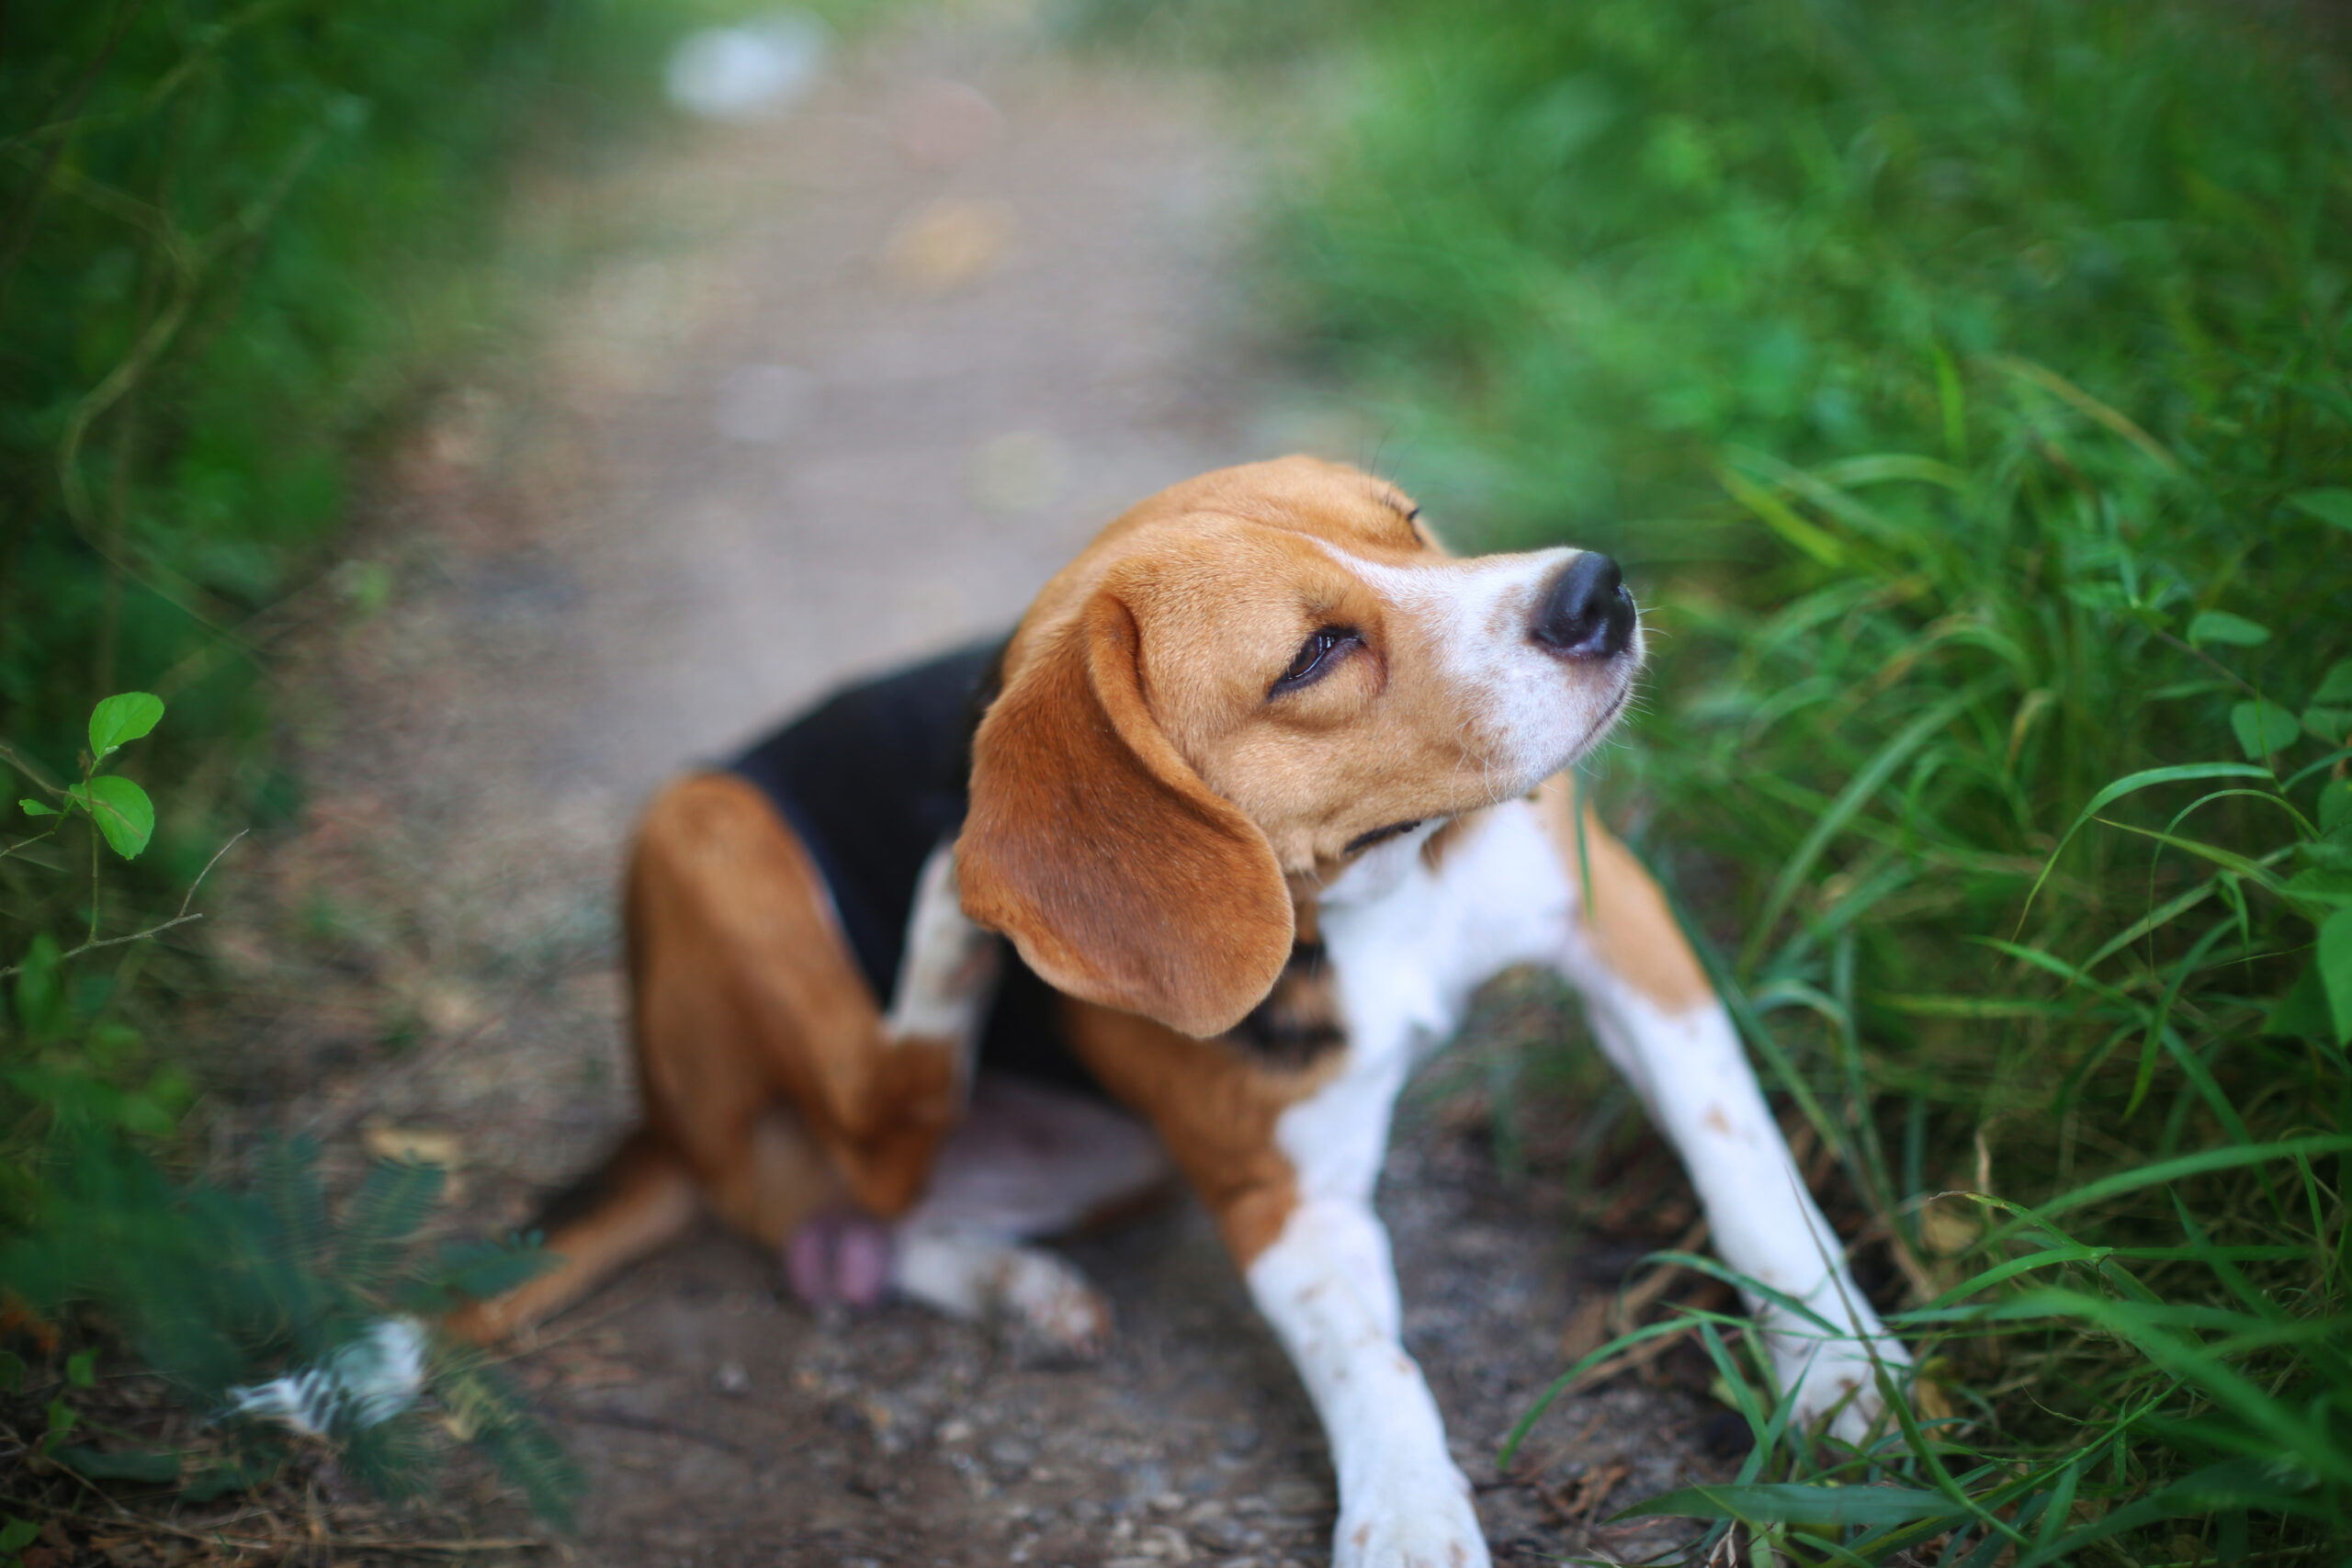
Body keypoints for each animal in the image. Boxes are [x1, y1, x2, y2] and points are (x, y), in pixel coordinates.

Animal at [458, 453, 1909, 1568]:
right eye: (1315, 653)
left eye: (1409, 521)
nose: (1594, 589)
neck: (1373, 895)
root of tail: (665, 1131)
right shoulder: (1277, 1197)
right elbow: (1370, 1360)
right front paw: (1406, 1515)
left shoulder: (1623, 930)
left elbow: (1745, 1166)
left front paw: (1837, 1366)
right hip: (702, 825)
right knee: (865, 1138)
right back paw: (947, 939)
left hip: (1104, 1158)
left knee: (856, 1216)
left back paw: (1012, 1278)